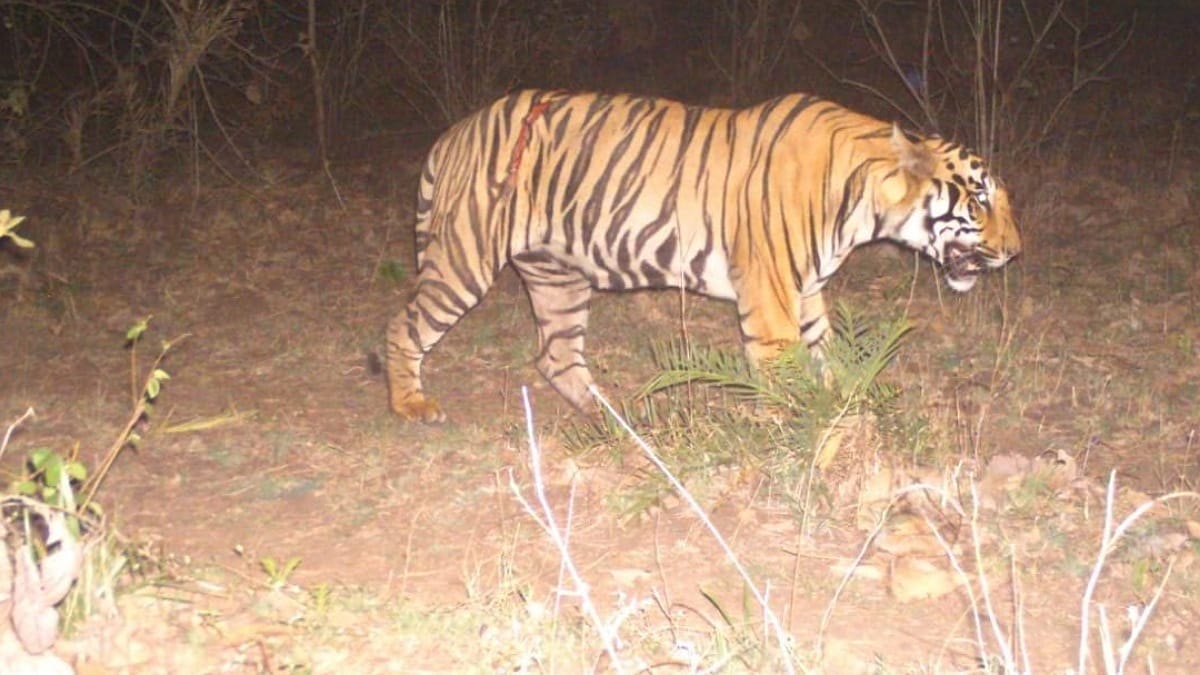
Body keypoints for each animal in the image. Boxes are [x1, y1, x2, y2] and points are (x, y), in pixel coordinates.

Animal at [386, 89, 1021, 422]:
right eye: (980, 197)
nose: (1016, 252)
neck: (866, 204)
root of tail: (454, 132)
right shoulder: (769, 294)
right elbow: (782, 369)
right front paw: (799, 433)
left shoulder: (806, 290)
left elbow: (825, 355)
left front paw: (842, 405)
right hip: (466, 256)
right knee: (403, 326)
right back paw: (412, 403)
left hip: (557, 275)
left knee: (555, 354)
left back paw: (613, 415)